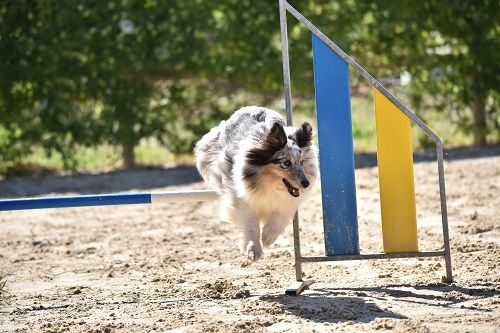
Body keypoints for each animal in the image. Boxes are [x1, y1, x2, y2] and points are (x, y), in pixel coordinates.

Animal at [193, 105, 318, 260]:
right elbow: (251, 223)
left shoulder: (286, 202)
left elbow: (278, 216)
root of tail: (250, 107)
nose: (306, 184)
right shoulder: (241, 198)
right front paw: (253, 250)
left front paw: (267, 237)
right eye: (286, 163)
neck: (268, 183)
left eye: (301, 162)